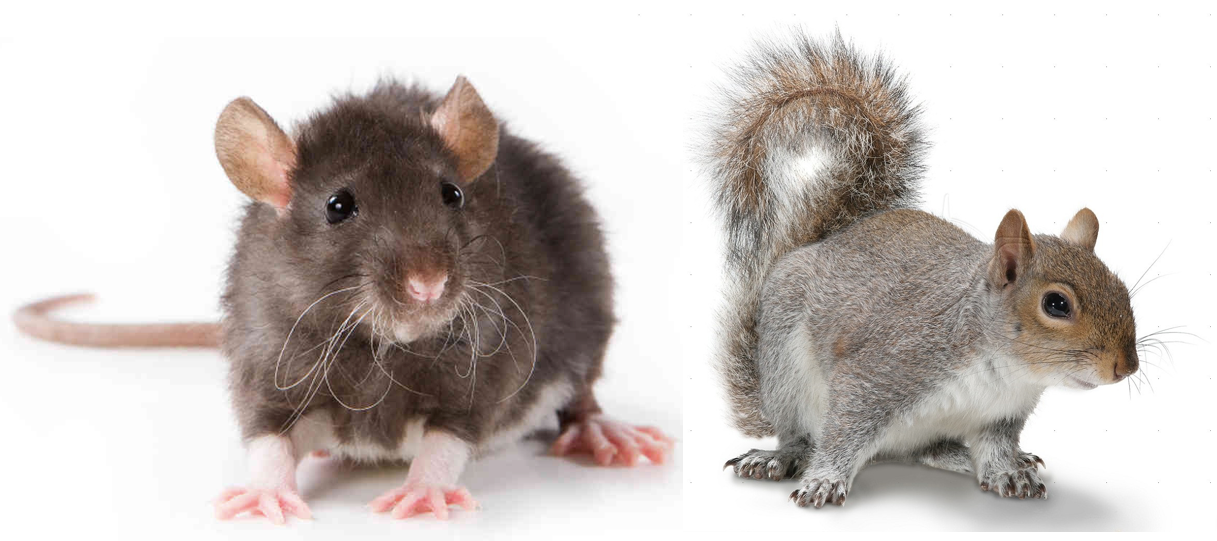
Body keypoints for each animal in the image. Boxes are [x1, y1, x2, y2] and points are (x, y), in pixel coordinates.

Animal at [702, 32, 1140, 508]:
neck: (1003, 370)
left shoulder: (1000, 415)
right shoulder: (883, 370)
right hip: (785, 365)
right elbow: (842, 433)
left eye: (1124, 290)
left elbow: (995, 447)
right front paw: (825, 480)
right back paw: (780, 457)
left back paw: (976, 457)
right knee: (802, 434)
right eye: (1056, 304)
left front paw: (1008, 471)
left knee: (927, 450)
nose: (1127, 367)